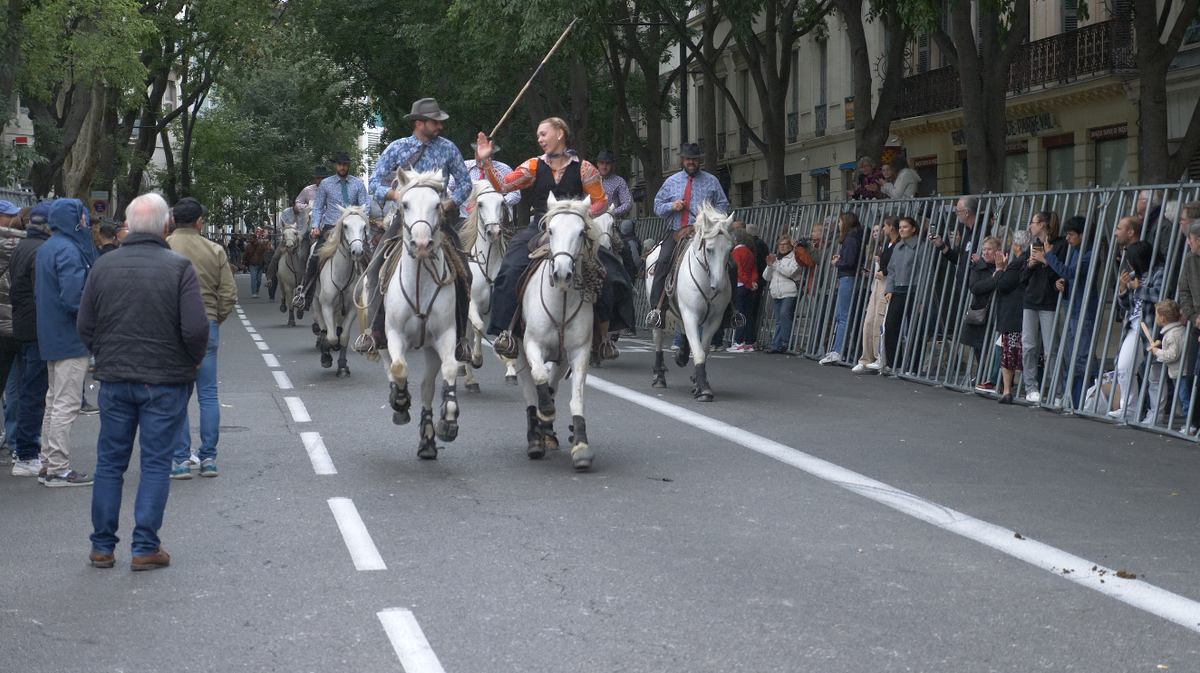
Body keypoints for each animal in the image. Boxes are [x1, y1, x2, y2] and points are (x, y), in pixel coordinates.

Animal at [312, 205, 367, 374]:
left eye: (364, 226)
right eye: (345, 225)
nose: (357, 251)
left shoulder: (352, 309)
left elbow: (343, 337)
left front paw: (342, 363)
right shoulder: (327, 306)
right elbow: (330, 337)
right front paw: (326, 354)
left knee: (339, 329)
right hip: (316, 302)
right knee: (323, 328)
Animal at [376, 169, 460, 460]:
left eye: (437, 205)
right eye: (405, 204)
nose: (422, 244)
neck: (420, 281)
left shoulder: (446, 335)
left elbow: (450, 368)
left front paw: (448, 420)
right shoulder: (393, 334)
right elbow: (398, 367)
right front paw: (400, 403)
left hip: (430, 348)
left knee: (426, 387)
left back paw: (428, 440)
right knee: (389, 366)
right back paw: (396, 399)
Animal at [458, 178, 516, 391]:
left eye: (502, 202)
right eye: (481, 204)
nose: (495, 232)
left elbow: (505, 331)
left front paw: (510, 367)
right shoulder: (472, 305)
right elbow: (480, 328)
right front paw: (476, 358)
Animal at [513, 191, 600, 470]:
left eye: (581, 232)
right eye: (550, 230)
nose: (562, 274)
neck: (561, 301)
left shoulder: (579, 352)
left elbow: (576, 397)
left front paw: (581, 446)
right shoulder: (531, 345)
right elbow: (539, 377)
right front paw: (546, 413)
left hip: (561, 358)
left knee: (551, 384)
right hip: (518, 351)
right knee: (531, 390)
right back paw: (535, 437)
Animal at [643, 203, 734, 398]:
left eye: (730, 249)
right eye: (709, 249)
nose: (719, 285)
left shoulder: (715, 318)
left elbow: (703, 349)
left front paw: (698, 381)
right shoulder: (691, 314)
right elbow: (699, 352)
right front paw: (704, 389)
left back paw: (682, 356)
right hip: (659, 312)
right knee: (658, 338)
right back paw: (659, 377)